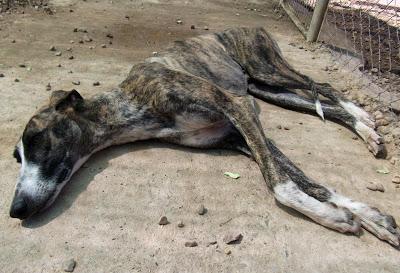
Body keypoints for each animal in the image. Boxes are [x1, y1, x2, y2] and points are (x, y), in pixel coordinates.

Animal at [8, 27, 396, 246]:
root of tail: (250, 26)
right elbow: (305, 179)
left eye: (38, 140)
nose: (15, 210)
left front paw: (335, 217)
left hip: (267, 68)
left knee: (323, 85)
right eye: (16, 157)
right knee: (323, 103)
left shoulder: (236, 106)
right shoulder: (237, 134)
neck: (134, 101)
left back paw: (364, 118)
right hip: (268, 89)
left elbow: (281, 186)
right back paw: (365, 128)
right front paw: (369, 217)